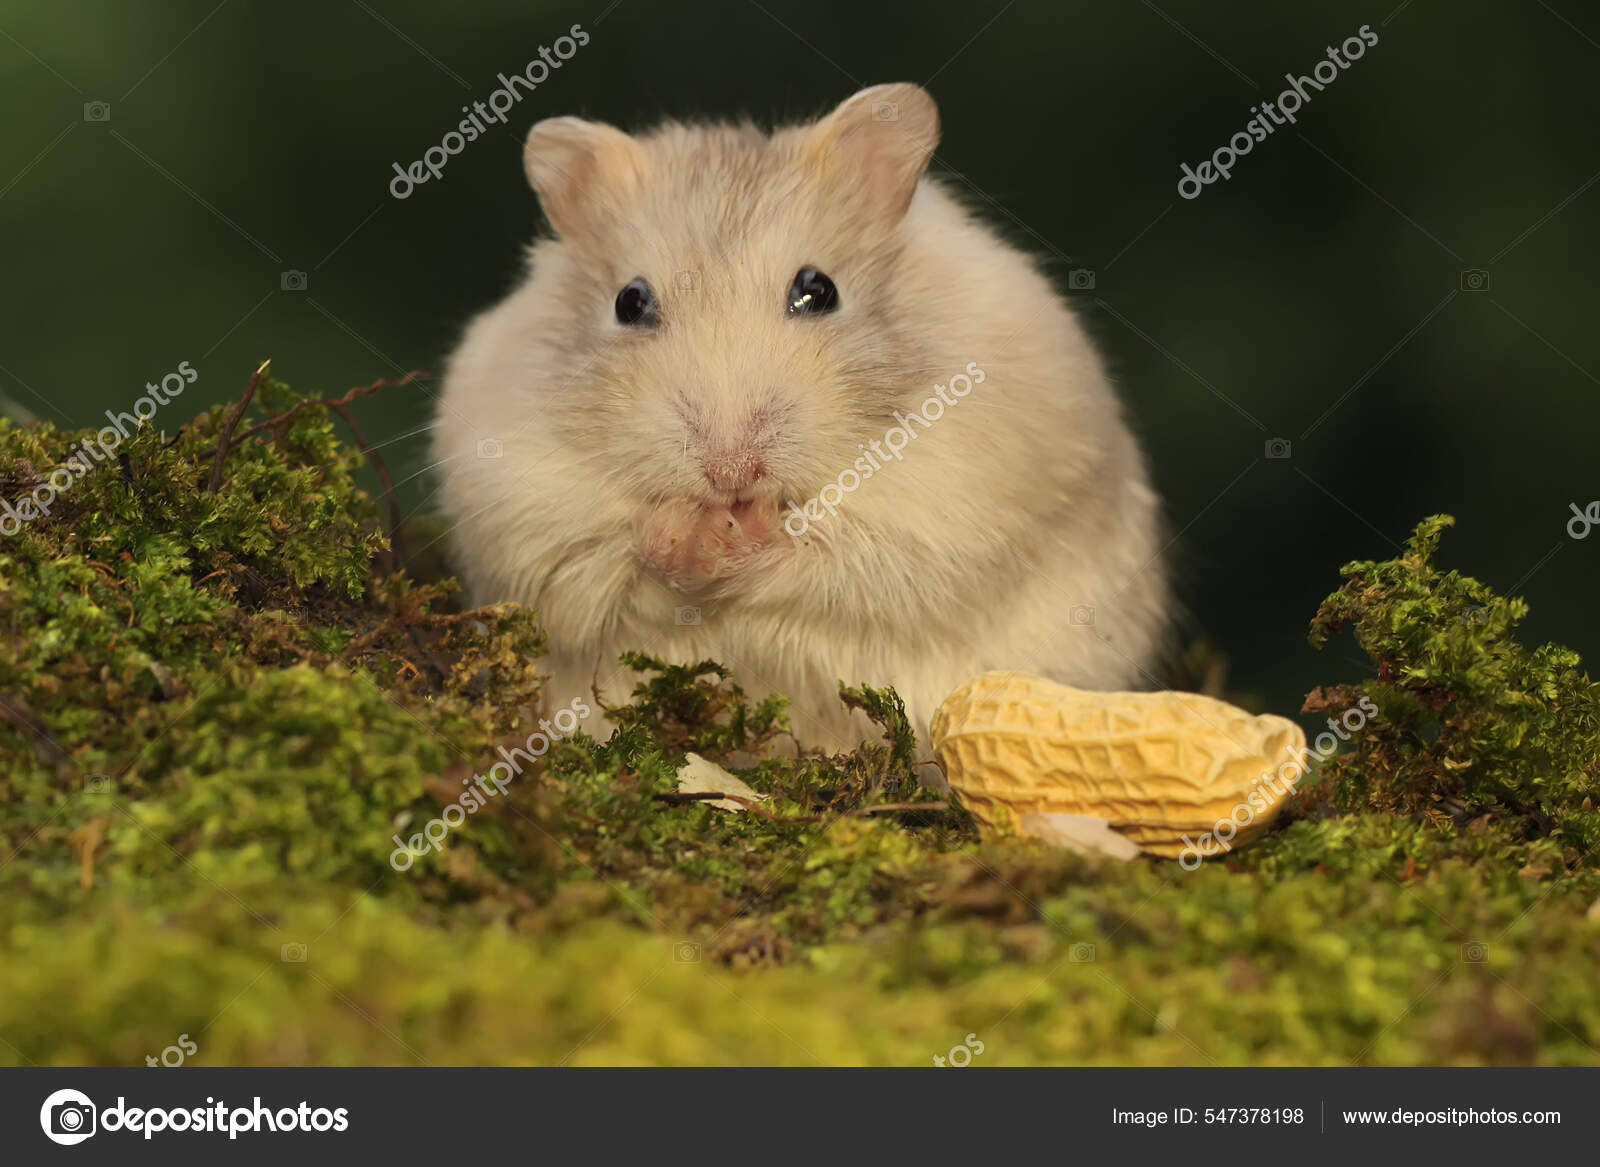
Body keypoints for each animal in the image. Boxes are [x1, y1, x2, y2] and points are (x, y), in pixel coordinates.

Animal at [432, 82, 1171, 755]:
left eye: (819, 289)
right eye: (628, 302)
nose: (731, 472)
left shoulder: (953, 511)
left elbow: (844, 560)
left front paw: (744, 534)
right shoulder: (520, 513)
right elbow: (603, 560)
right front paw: (680, 531)